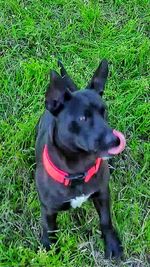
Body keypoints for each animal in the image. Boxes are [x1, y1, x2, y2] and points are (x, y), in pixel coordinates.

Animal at [34, 59, 125, 260]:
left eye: (104, 111)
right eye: (83, 118)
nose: (115, 141)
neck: (78, 169)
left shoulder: (102, 194)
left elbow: (106, 221)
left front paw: (112, 244)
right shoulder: (48, 211)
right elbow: (49, 232)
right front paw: (48, 252)